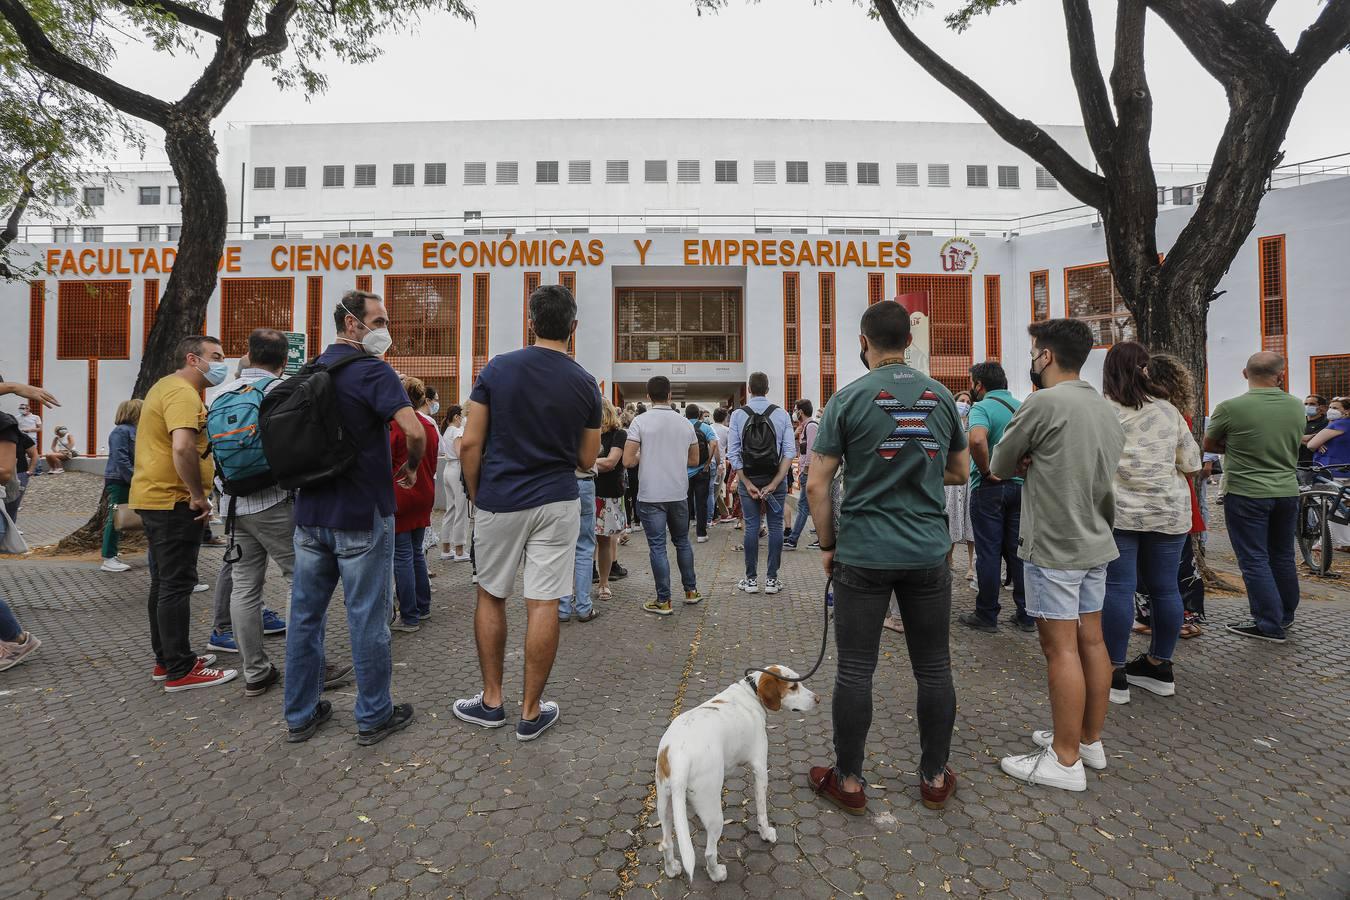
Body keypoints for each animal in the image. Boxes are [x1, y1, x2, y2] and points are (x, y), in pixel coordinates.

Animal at [650, 666, 810, 885]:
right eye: (793, 687)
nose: (817, 699)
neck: (751, 691)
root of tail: (679, 754)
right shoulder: (760, 769)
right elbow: (762, 812)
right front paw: (766, 833)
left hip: (665, 804)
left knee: (666, 843)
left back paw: (672, 869)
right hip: (714, 814)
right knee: (709, 853)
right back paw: (717, 874)